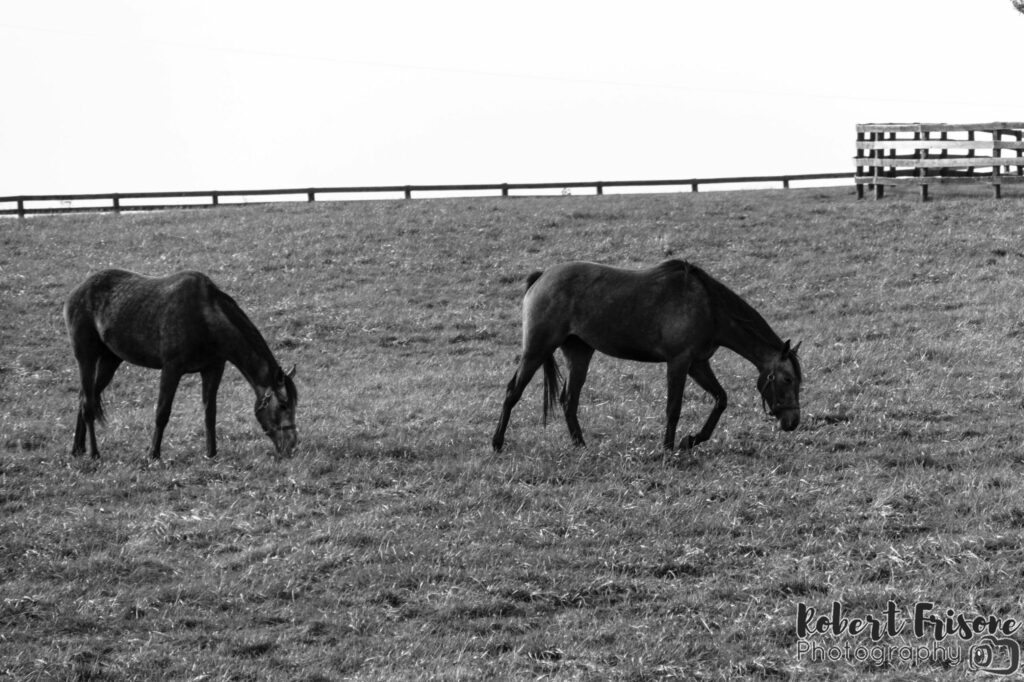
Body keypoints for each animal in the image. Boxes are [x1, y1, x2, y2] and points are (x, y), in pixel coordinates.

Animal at [64, 268, 299, 458]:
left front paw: (211, 453)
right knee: (88, 403)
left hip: (110, 360)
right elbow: (162, 412)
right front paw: (154, 454)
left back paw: (78, 448)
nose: (292, 445)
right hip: (86, 357)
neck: (205, 316)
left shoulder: (213, 368)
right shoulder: (171, 369)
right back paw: (94, 453)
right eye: (284, 405)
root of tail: (76, 292)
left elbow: (210, 412)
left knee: (85, 397)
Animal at [491, 259, 802, 450]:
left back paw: (581, 446)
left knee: (569, 400)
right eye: (787, 380)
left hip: (579, 353)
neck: (709, 307)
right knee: (512, 392)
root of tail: (542, 276)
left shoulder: (697, 363)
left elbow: (721, 399)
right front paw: (668, 448)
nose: (793, 422)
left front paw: (691, 440)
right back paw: (497, 443)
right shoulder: (679, 362)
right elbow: (673, 407)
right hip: (536, 350)